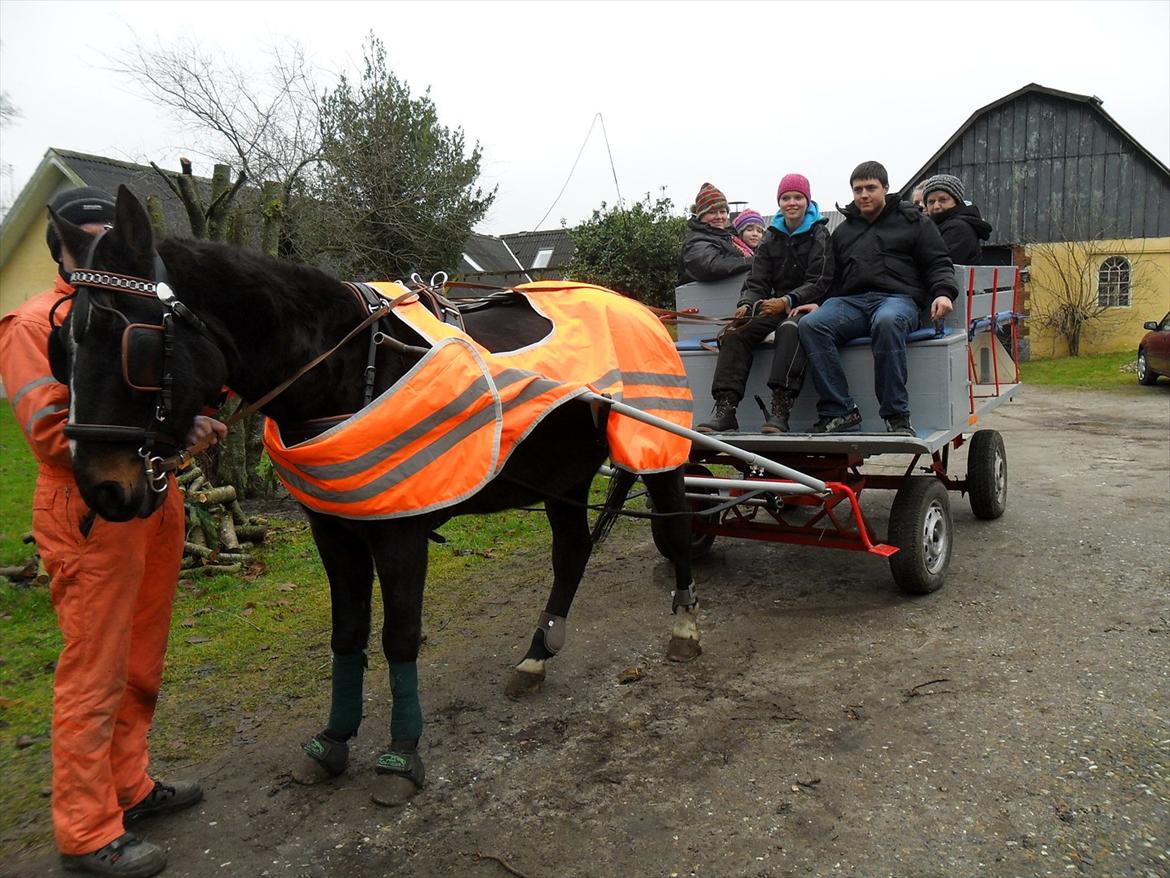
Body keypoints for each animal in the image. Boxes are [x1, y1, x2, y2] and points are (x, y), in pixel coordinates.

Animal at [47, 187, 702, 810]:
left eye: (131, 344)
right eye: (61, 350)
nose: (102, 487)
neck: (350, 363)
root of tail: (639, 308)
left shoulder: (399, 531)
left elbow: (399, 636)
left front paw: (400, 755)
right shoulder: (334, 528)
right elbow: (348, 634)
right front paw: (333, 741)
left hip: (661, 453)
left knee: (674, 533)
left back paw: (685, 629)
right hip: (564, 476)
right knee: (571, 555)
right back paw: (536, 657)